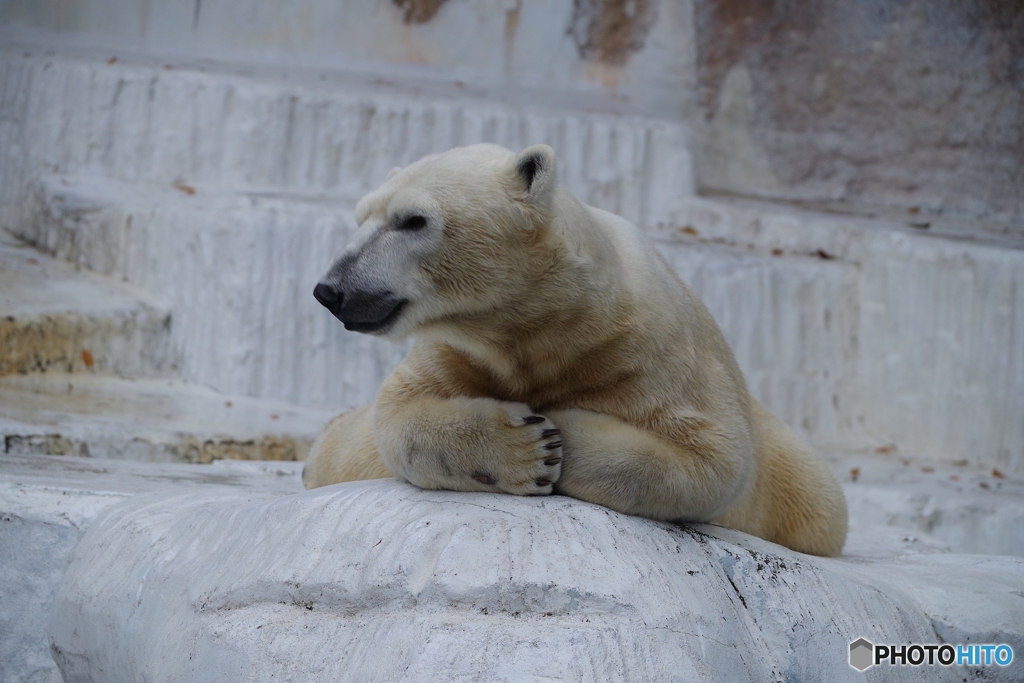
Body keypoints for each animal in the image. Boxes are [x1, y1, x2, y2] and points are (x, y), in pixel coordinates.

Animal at [305, 143, 847, 557]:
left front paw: (558, 431)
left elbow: (716, 457)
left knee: (820, 501)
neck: (549, 325)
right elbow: (399, 414)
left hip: (797, 484)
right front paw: (526, 447)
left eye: (414, 220)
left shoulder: (655, 352)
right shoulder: (457, 351)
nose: (331, 290)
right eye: (361, 217)